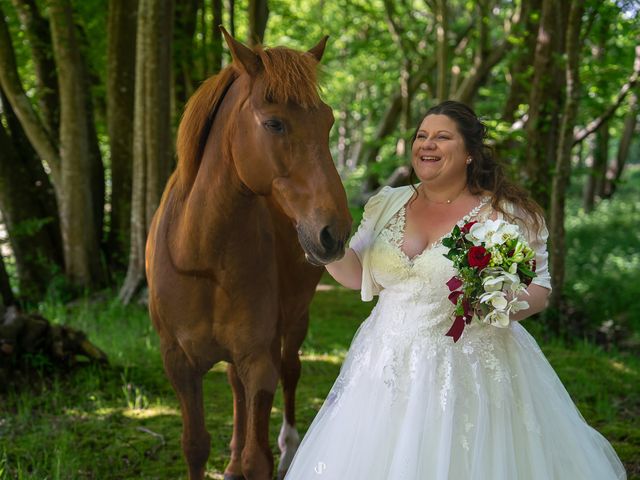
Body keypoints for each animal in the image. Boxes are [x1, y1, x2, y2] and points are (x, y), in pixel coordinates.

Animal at [145, 30, 350, 480]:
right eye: (273, 123)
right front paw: (230, 457)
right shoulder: (178, 363)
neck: (202, 257)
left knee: (291, 369)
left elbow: (260, 458)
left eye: (327, 121)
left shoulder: (258, 360)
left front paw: (255, 458)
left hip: (294, 322)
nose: (335, 233)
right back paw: (233, 459)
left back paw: (288, 448)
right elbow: (195, 445)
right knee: (235, 388)